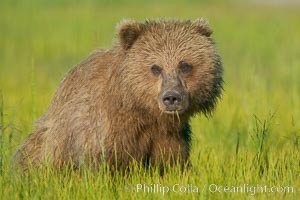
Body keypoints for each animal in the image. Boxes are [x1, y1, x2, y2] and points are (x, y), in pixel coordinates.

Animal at [15, 18, 224, 172]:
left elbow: (170, 165)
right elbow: (99, 166)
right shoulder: (100, 130)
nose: (171, 97)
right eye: (155, 68)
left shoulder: (168, 137)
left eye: (184, 65)